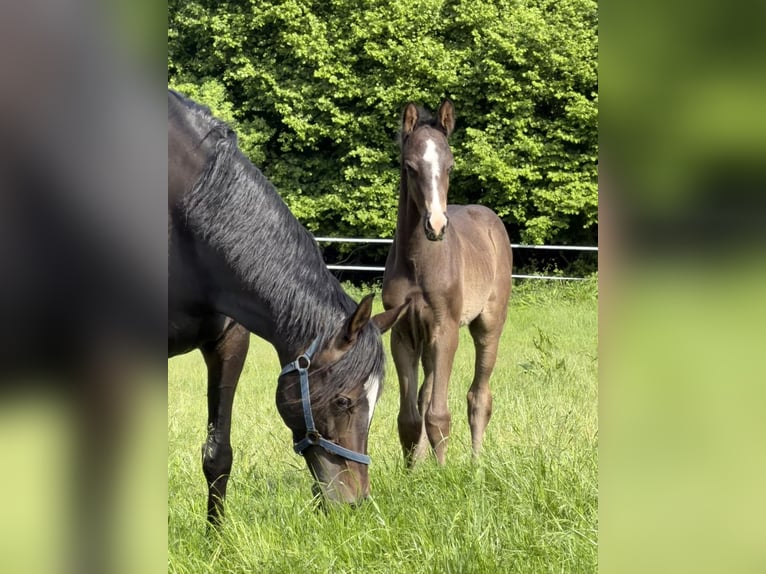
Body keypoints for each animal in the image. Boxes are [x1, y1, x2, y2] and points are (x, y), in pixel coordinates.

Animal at [382, 99, 513, 466]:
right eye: (410, 166)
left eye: (451, 167)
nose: (436, 225)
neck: (418, 264)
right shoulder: (403, 333)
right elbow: (410, 418)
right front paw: (413, 472)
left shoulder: (446, 329)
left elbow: (438, 415)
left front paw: (441, 473)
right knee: (425, 394)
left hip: (488, 325)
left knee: (479, 396)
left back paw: (476, 463)